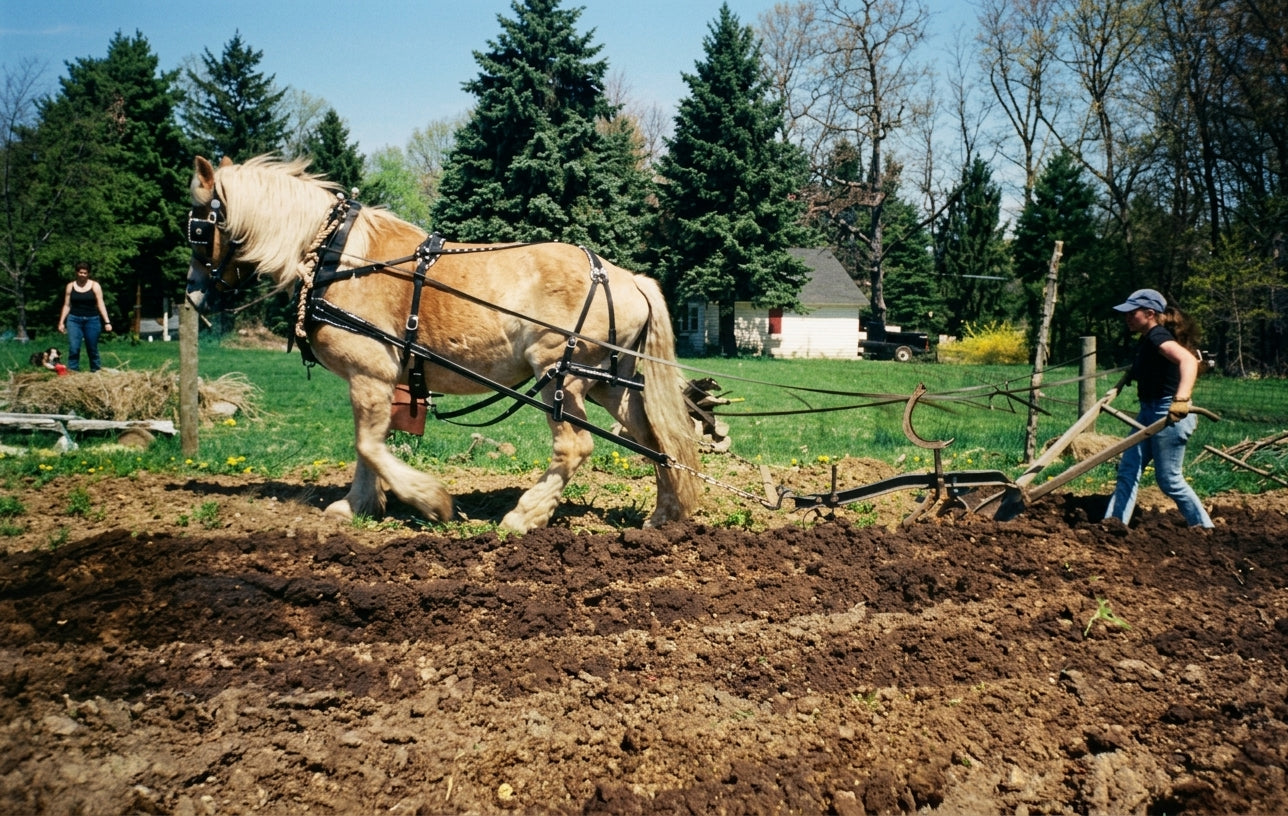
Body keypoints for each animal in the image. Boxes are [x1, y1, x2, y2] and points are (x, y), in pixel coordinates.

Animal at [185, 155, 699, 534]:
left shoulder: (369, 372)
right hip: (608, 382)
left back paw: (523, 516)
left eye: (197, 225)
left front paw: (430, 501)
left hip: (561, 376)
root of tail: (627, 277)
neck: (337, 256)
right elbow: (367, 446)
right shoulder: (376, 381)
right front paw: (357, 505)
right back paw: (664, 515)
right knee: (654, 438)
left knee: (575, 447)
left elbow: (368, 444)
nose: (192, 293)